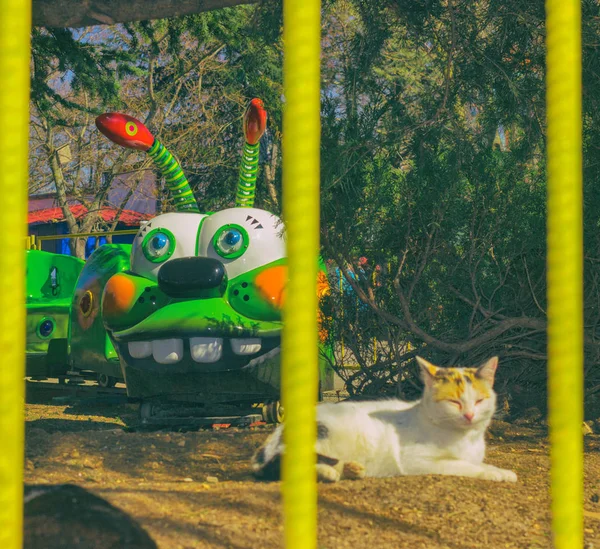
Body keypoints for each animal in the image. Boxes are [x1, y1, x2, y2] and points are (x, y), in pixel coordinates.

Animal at [251, 356, 516, 480]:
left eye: (479, 401)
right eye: (454, 402)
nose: (470, 415)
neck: (464, 438)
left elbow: (478, 462)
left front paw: (499, 470)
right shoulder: (416, 460)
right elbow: (462, 465)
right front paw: (493, 473)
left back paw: (351, 469)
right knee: (286, 466)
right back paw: (329, 473)